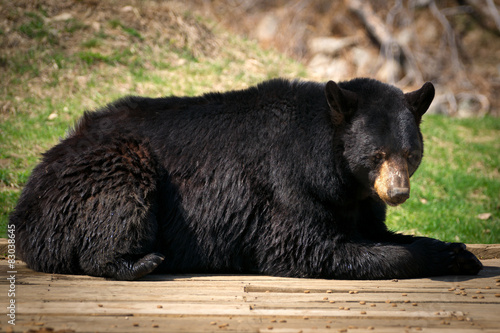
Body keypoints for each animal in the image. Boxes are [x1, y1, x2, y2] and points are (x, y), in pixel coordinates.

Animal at [9, 78, 482, 280]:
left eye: (411, 154)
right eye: (376, 155)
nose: (398, 192)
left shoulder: (357, 197)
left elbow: (374, 229)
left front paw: (457, 251)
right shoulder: (288, 183)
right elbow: (305, 246)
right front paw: (435, 257)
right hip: (104, 170)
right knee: (116, 202)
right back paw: (138, 262)